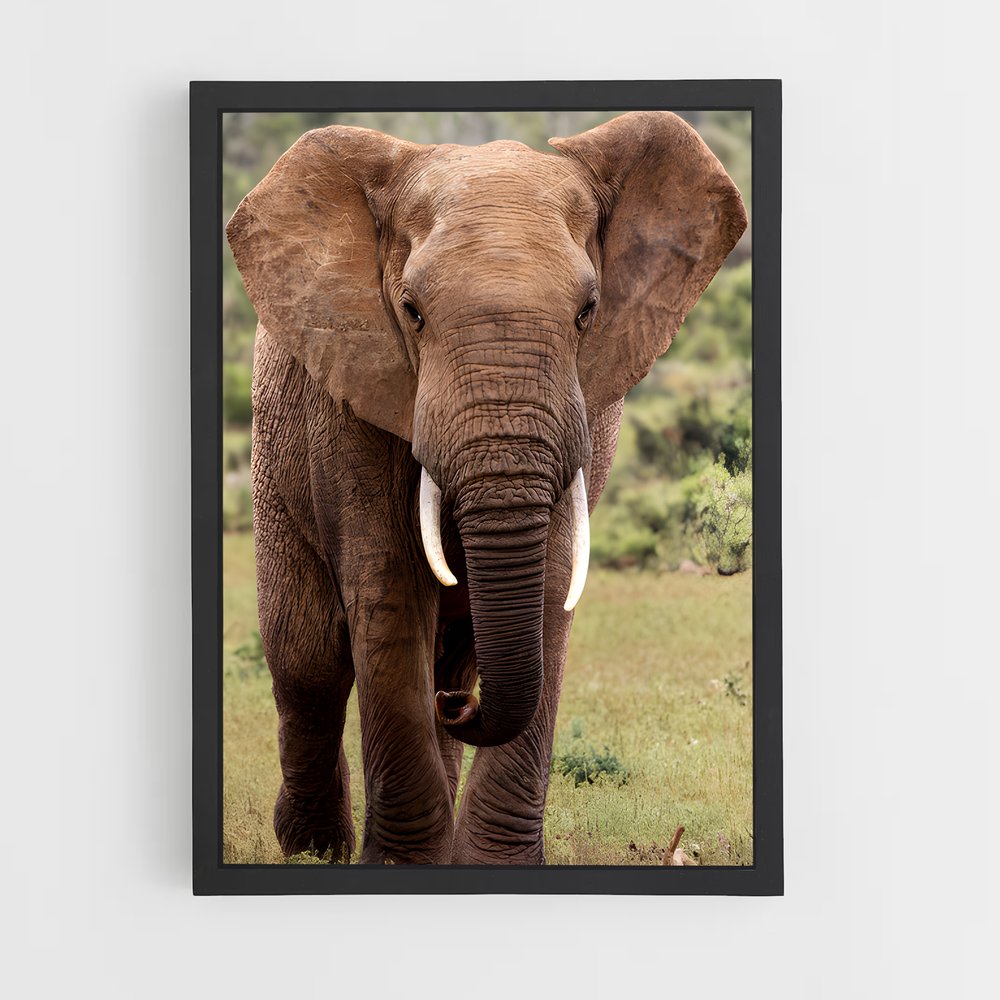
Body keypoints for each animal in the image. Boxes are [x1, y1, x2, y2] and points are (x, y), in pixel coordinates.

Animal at [226, 111, 746, 864]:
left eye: (588, 311)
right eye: (411, 311)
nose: (461, 712)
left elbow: (553, 583)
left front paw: (488, 862)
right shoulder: (353, 394)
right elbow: (387, 589)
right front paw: (401, 865)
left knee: (447, 655)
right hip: (276, 460)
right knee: (310, 662)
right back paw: (313, 849)